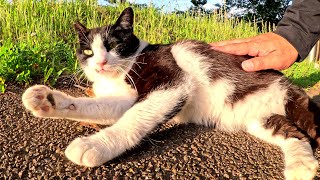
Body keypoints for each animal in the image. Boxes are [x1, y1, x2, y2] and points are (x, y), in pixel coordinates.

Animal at [22, 6, 320, 179]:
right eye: (86, 51)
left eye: (113, 44)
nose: (100, 63)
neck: (124, 68)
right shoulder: (123, 97)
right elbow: (98, 106)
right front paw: (47, 100)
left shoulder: (173, 82)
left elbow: (134, 117)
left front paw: (94, 145)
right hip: (260, 119)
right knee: (295, 135)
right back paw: (301, 167)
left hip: (296, 104)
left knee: (307, 130)